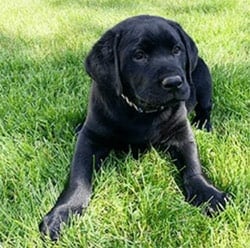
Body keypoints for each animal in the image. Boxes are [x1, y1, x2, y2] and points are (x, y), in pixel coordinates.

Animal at [39, 15, 229, 240]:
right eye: (139, 55)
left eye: (177, 50)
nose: (174, 82)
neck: (141, 111)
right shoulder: (90, 138)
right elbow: (79, 177)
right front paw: (63, 213)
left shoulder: (182, 134)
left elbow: (193, 166)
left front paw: (208, 194)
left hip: (204, 84)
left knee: (205, 109)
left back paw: (204, 126)